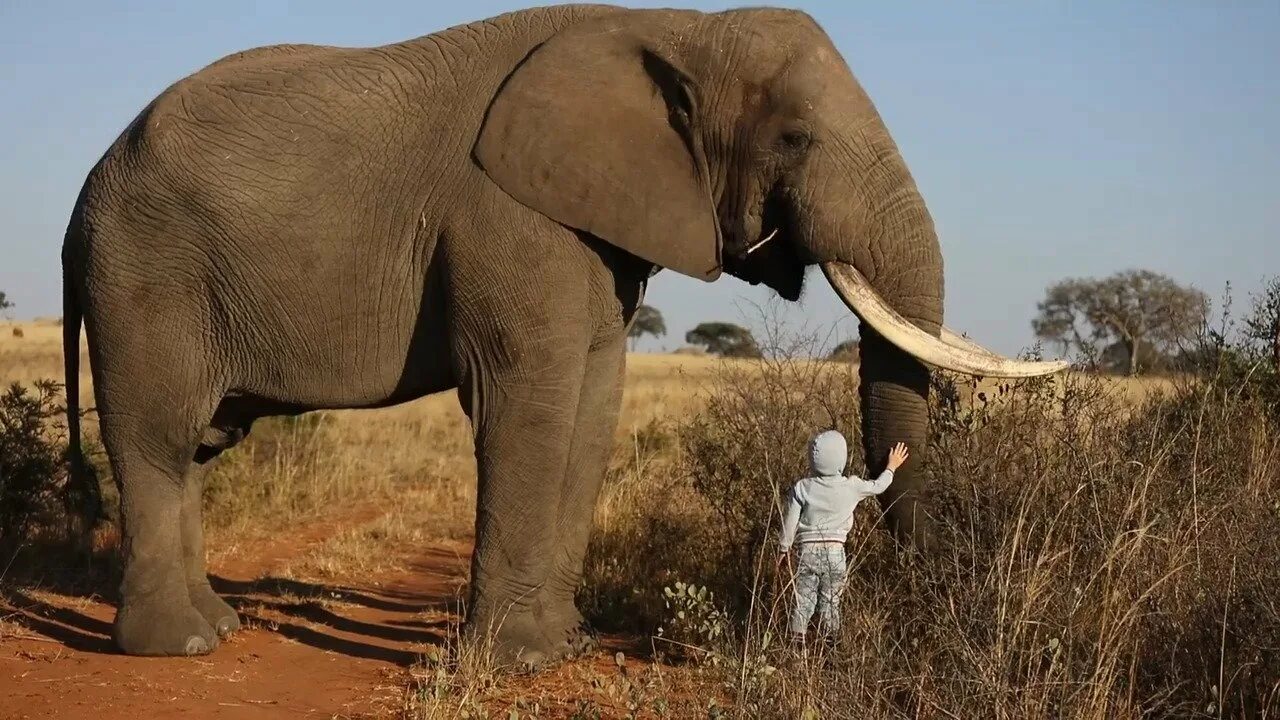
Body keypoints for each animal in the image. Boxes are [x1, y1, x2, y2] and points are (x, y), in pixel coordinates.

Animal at [57, 4, 1059, 661]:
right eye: (795, 139)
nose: (936, 599)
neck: (678, 26)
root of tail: (82, 197)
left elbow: (594, 403)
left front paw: (565, 645)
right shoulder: (509, 212)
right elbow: (528, 397)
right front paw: (520, 662)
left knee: (190, 450)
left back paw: (217, 629)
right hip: (146, 273)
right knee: (157, 440)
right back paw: (179, 647)